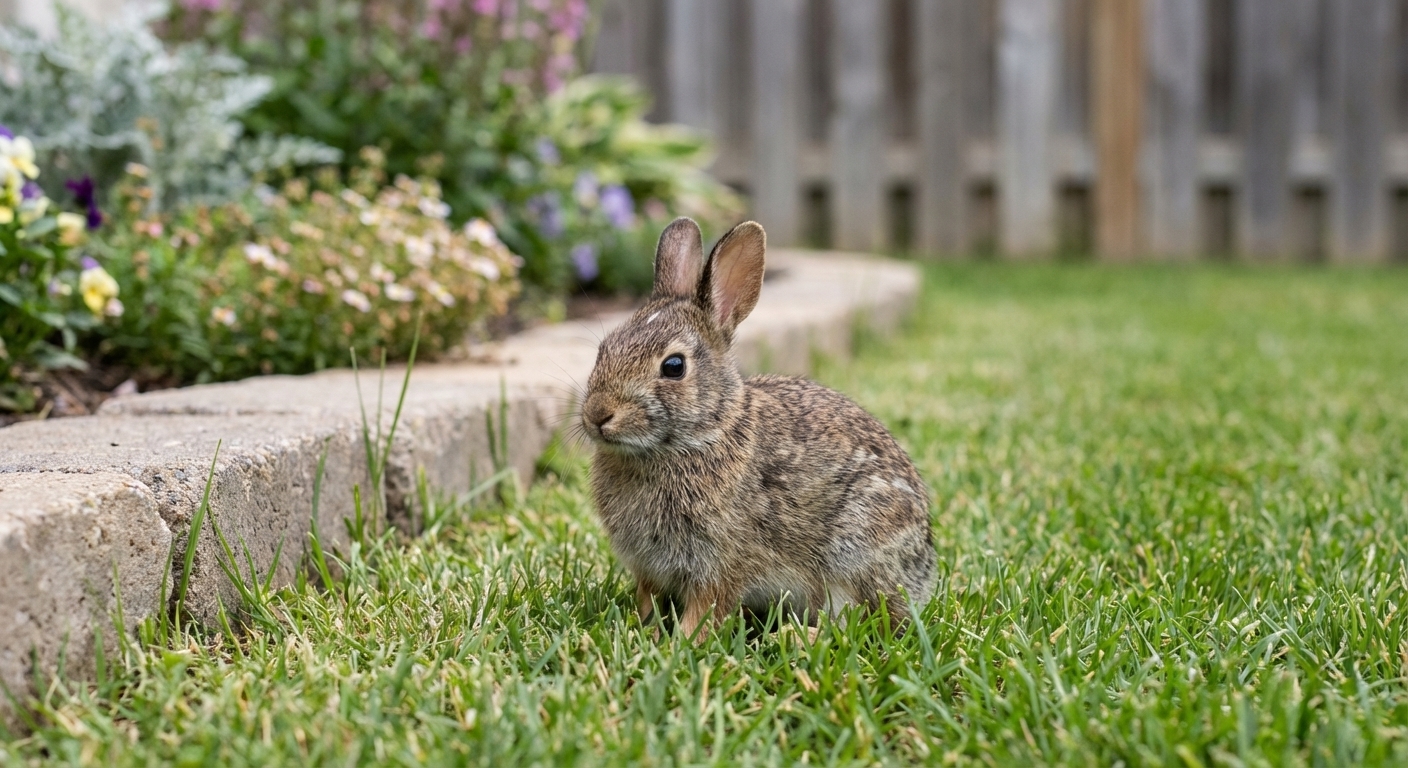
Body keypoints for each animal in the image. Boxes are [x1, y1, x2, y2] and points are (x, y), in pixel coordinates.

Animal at [579, 217, 937, 640]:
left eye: (674, 367)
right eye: (603, 349)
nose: (598, 414)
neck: (700, 435)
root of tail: (924, 569)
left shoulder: (720, 562)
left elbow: (707, 608)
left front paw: (680, 643)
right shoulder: (648, 567)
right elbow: (648, 599)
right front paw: (643, 631)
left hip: (855, 553)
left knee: (862, 621)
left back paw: (796, 636)